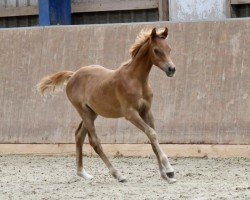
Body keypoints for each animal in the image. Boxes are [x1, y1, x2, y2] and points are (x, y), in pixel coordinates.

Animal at [38, 27, 177, 184]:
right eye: (156, 50)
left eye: (169, 49)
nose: (171, 69)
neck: (136, 80)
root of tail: (73, 75)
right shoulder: (130, 114)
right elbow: (151, 134)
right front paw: (169, 170)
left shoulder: (146, 111)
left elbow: (152, 138)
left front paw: (165, 176)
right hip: (83, 111)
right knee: (95, 142)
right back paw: (118, 174)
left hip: (92, 113)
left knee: (79, 135)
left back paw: (83, 173)